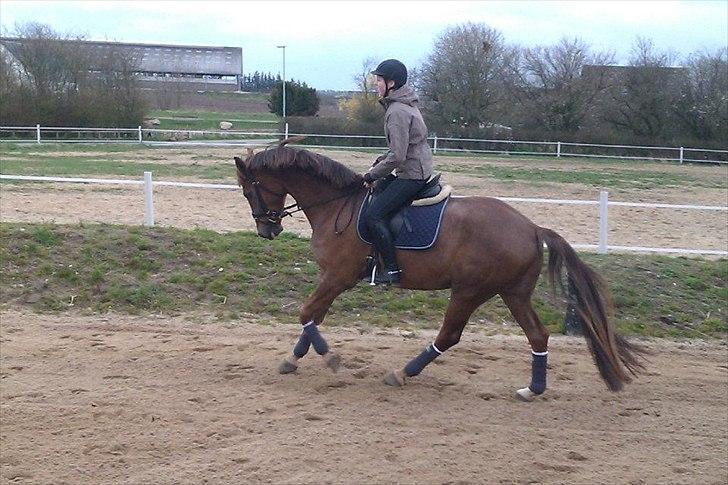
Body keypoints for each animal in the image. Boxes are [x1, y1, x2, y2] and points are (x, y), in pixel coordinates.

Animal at [235, 142, 644, 398]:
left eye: (248, 190)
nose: (267, 230)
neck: (338, 205)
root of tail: (531, 227)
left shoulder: (338, 277)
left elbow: (307, 313)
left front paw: (330, 359)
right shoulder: (334, 279)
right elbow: (313, 316)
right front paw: (293, 359)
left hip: (469, 291)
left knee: (449, 335)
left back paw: (403, 373)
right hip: (512, 293)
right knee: (538, 335)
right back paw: (533, 389)